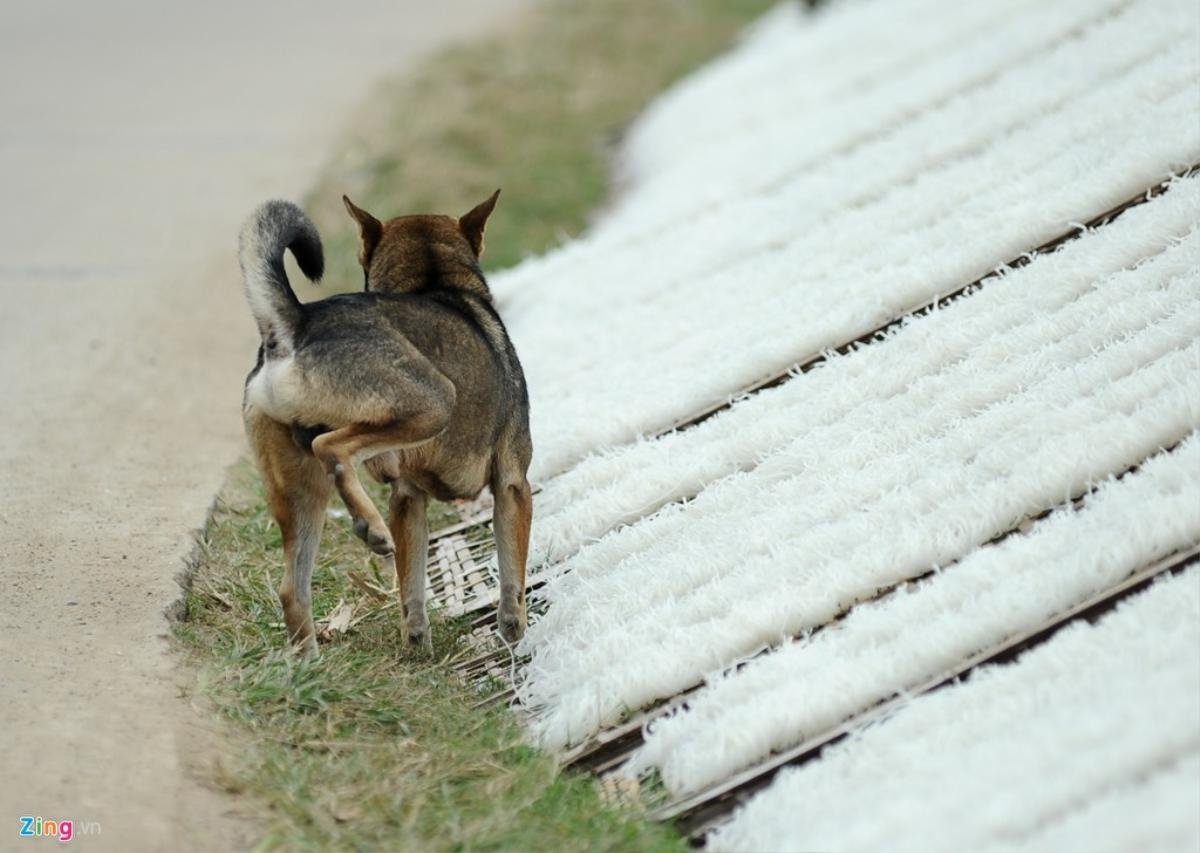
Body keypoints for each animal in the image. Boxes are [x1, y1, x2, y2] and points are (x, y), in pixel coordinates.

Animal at [238, 195, 530, 662]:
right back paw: (370, 528)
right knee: (332, 448)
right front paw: (514, 633)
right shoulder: (513, 484)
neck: (432, 282)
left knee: (291, 591)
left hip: (300, 492)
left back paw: (308, 668)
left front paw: (417, 646)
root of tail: (296, 324)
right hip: (433, 403)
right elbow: (512, 578)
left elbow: (411, 592)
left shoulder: (407, 498)